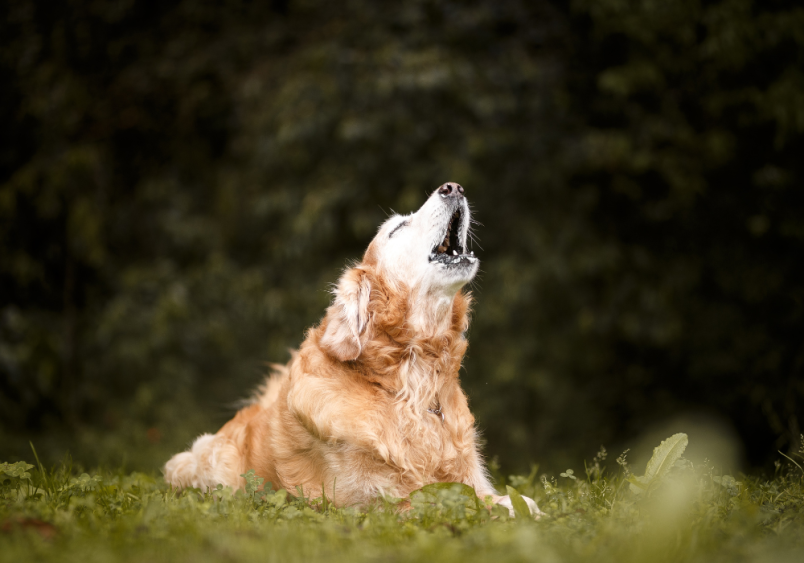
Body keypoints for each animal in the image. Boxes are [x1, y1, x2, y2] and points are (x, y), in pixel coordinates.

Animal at [163, 183, 540, 516]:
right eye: (397, 228)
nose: (453, 187)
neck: (410, 383)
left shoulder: (469, 477)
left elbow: (499, 497)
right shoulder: (369, 501)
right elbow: (445, 502)